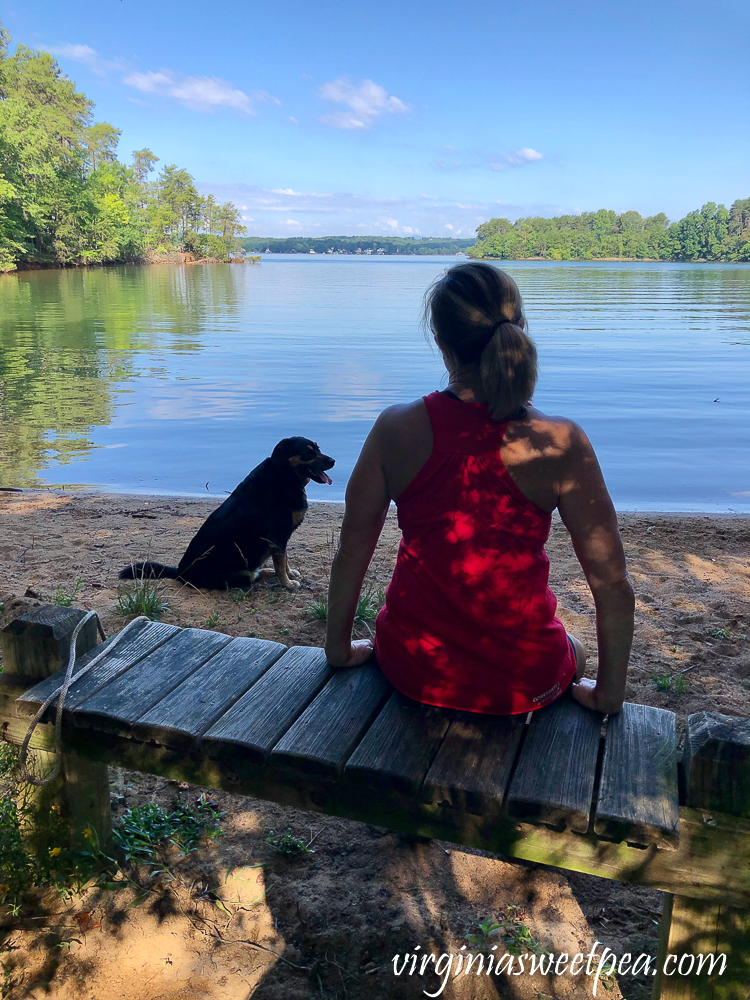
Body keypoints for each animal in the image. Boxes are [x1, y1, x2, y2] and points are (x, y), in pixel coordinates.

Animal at [120, 436, 334, 588]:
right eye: (307, 453)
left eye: (318, 448)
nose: (333, 460)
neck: (283, 474)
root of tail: (180, 572)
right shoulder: (278, 536)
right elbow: (281, 562)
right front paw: (287, 583)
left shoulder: (281, 538)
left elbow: (284, 560)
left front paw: (288, 576)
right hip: (239, 576)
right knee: (253, 577)